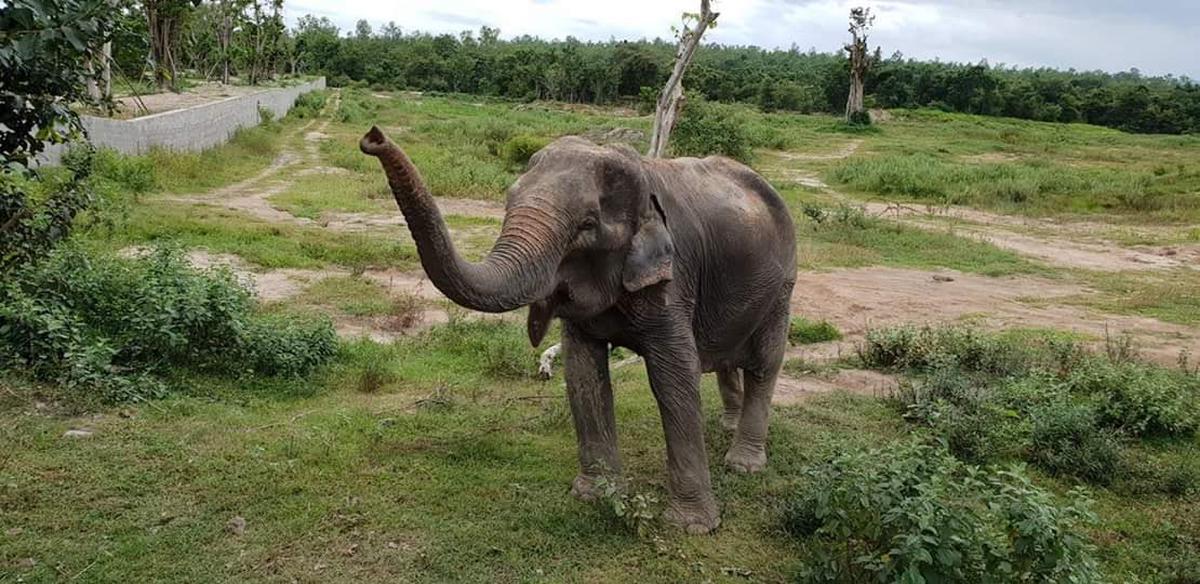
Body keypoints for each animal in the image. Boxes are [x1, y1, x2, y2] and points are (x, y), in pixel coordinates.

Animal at [360, 128, 792, 534]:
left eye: (586, 225)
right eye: (507, 203)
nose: (373, 138)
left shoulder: (674, 276)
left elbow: (673, 377)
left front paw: (692, 527)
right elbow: (584, 372)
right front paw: (594, 496)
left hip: (783, 283)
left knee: (764, 362)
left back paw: (743, 464)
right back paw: (727, 426)